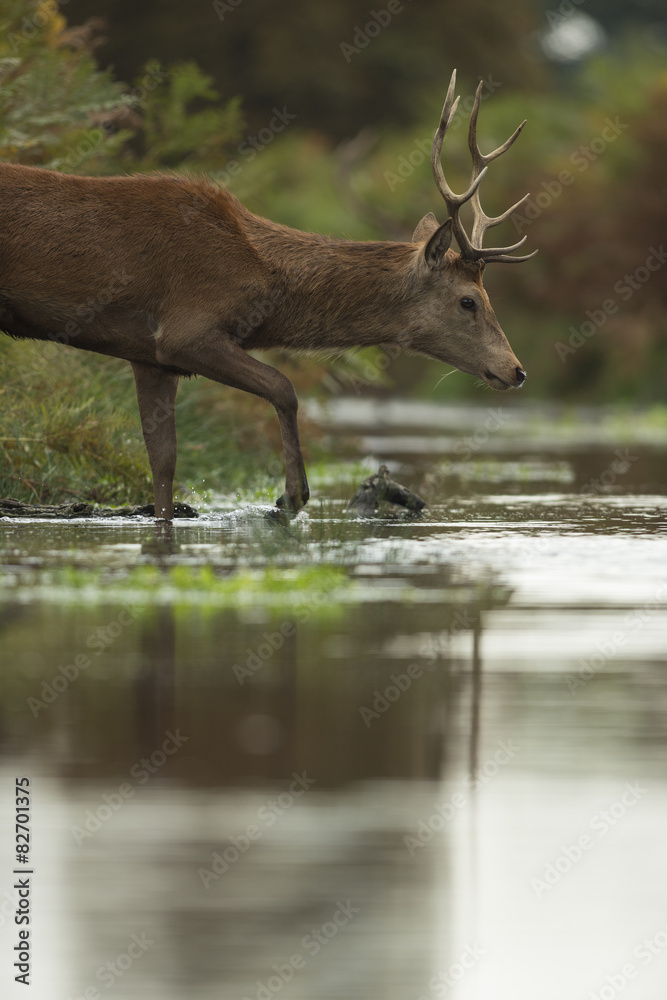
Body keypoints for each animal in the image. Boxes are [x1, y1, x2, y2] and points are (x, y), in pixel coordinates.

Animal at [0, 70, 535, 520]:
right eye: (468, 300)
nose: (516, 369)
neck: (263, 278)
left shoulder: (150, 358)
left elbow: (163, 464)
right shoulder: (185, 331)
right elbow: (284, 386)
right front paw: (293, 495)